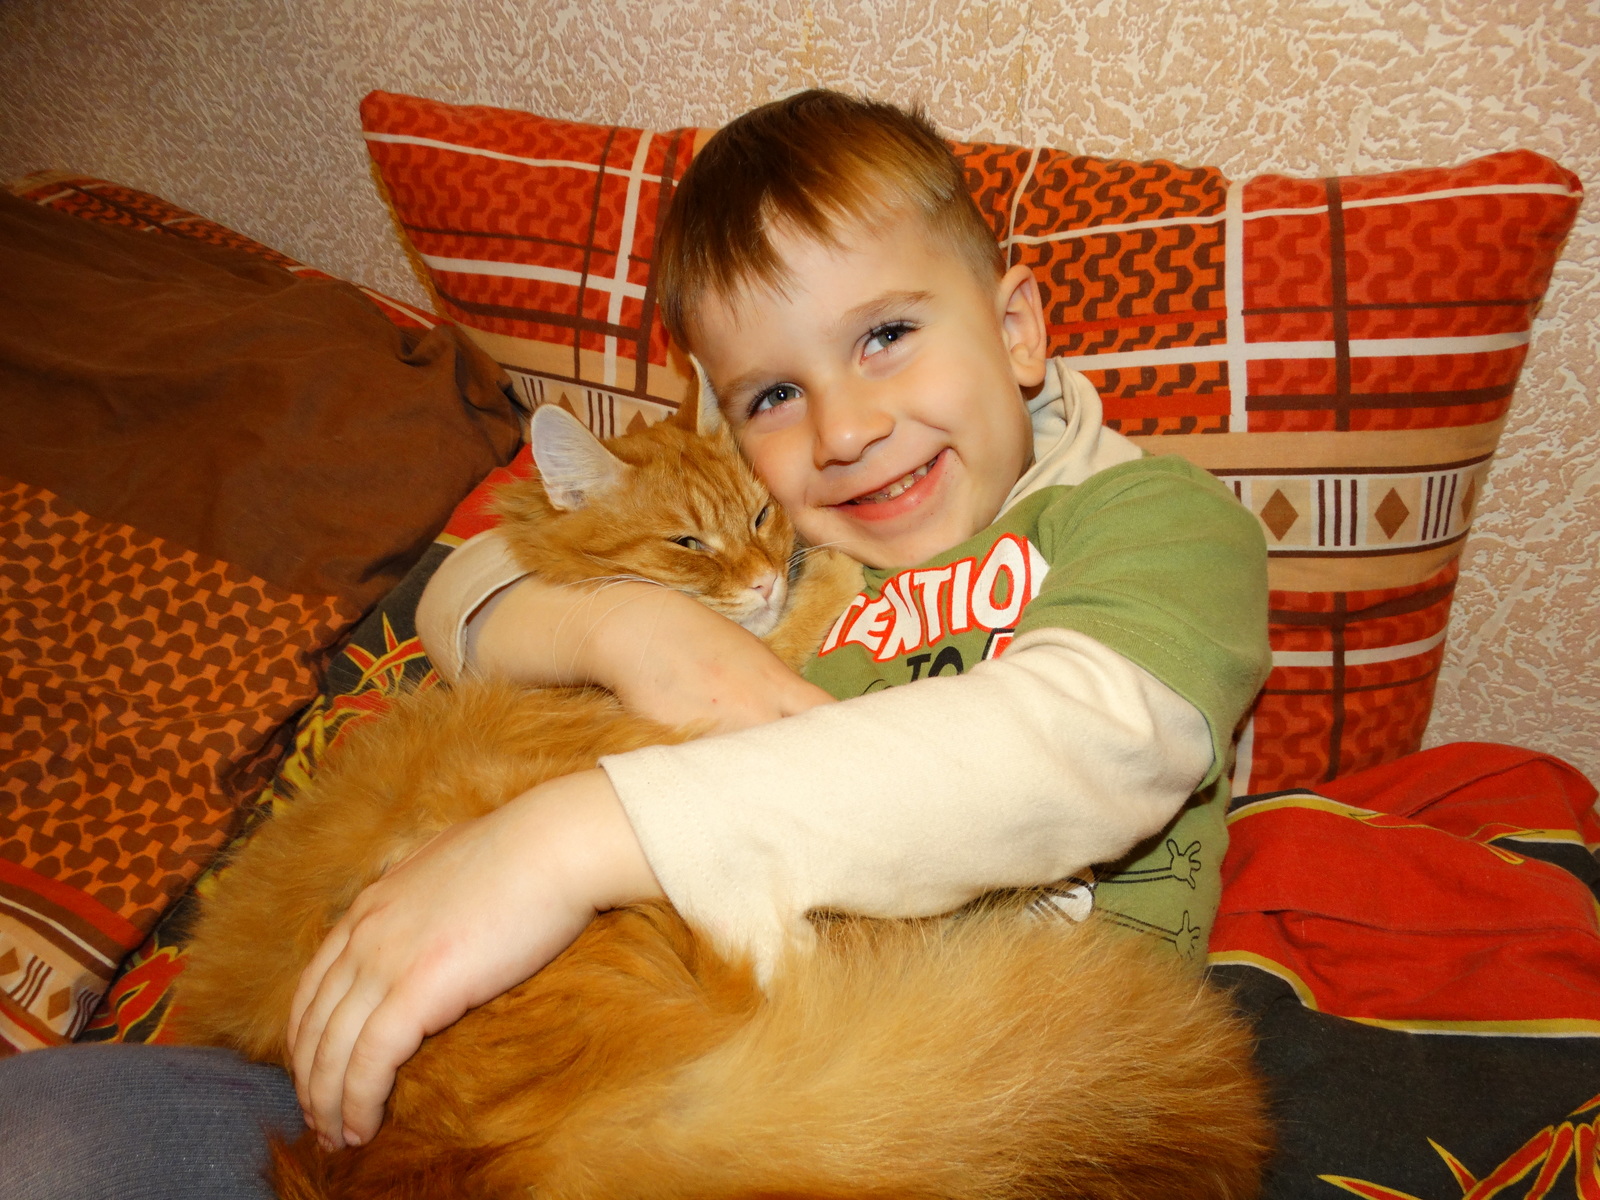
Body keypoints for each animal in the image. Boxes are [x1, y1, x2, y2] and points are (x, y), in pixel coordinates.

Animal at [172, 406, 1273, 1200]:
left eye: (756, 516)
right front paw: (837, 568)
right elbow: (803, 624)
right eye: (688, 541)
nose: (761, 575)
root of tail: (555, 1128)